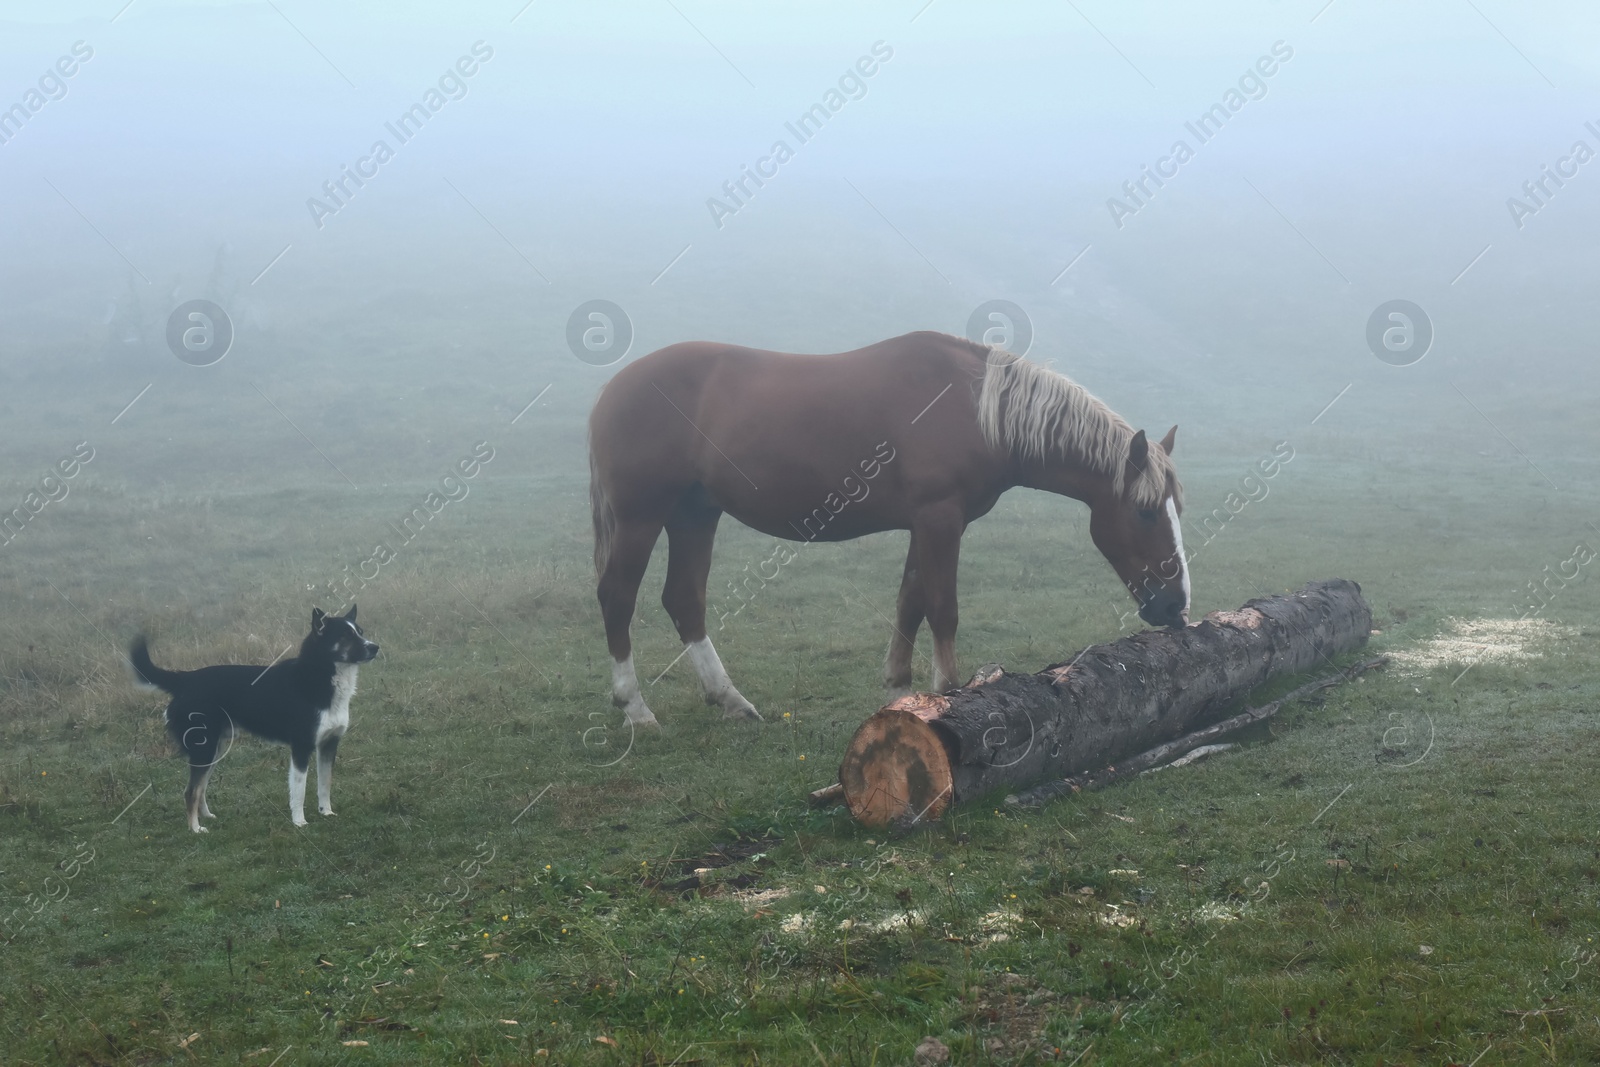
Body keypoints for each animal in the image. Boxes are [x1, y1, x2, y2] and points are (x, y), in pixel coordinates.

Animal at [130, 604, 377, 831]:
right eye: (344, 636)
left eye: (360, 632)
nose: (375, 647)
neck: (321, 676)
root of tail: (184, 680)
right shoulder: (301, 747)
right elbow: (299, 790)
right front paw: (299, 822)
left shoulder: (329, 744)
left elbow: (325, 784)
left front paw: (326, 812)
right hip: (204, 749)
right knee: (191, 791)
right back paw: (195, 828)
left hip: (215, 748)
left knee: (201, 787)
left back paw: (206, 816)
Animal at [592, 329, 1190, 726]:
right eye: (1144, 510)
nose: (1176, 606)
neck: (976, 410)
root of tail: (612, 389)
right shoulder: (939, 519)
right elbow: (942, 609)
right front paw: (948, 692)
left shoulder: (923, 526)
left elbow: (910, 604)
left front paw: (899, 693)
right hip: (643, 517)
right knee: (618, 597)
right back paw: (634, 708)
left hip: (694, 514)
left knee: (684, 600)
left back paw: (730, 699)